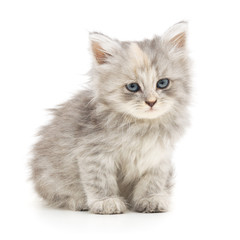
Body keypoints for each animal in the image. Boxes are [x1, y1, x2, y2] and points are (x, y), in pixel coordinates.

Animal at [30, 22, 191, 214]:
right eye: (132, 87)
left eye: (162, 83)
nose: (151, 102)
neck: (142, 126)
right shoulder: (94, 154)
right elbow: (100, 181)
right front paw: (106, 202)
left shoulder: (158, 156)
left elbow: (153, 181)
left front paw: (150, 199)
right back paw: (78, 202)